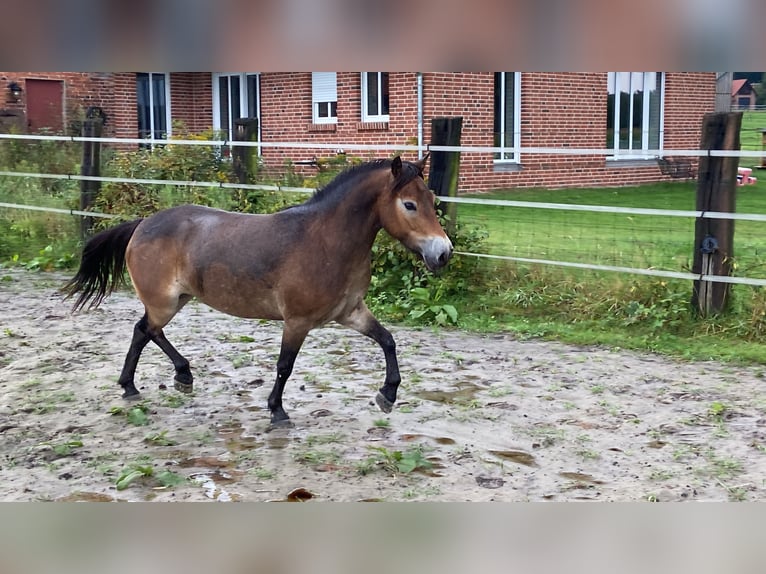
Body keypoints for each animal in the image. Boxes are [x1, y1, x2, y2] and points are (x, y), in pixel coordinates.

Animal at [64, 158, 456, 428]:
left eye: (431, 199)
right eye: (409, 204)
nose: (443, 253)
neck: (325, 241)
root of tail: (142, 225)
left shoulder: (350, 312)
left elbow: (387, 340)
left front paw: (387, 395)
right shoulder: (296, 321)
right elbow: (285, 365)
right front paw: (277, 411)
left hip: (176, 300)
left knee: (146, 332)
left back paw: (170, 378)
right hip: (164, 303)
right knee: (145, 330)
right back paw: (141, 384)